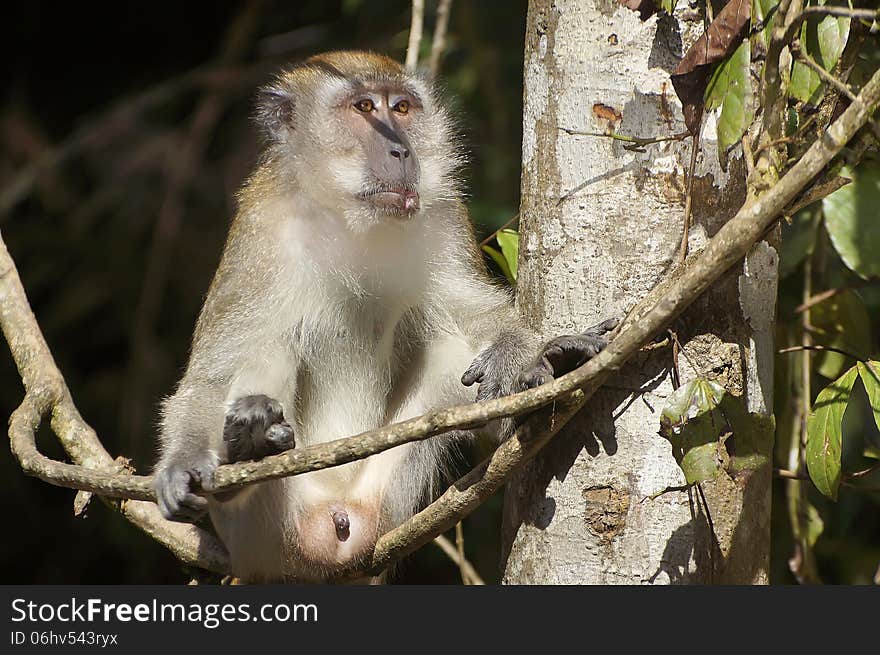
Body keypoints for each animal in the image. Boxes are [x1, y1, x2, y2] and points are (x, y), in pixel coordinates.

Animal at [155, 52, 616, 584]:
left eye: (402, 107)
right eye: (363, 107)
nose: (401, 150)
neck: (352, 221)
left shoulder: (442, 216)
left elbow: (477, 310)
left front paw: (517, 354)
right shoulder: (260, 230)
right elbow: (214, 372)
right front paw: (182, 464)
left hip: (386, 496)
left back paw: (549, 376)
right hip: (266, 536)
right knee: (267, 352)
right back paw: (247, 447)